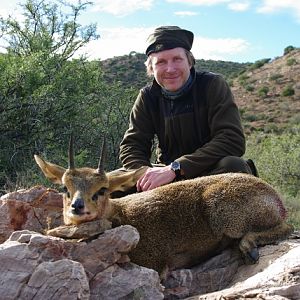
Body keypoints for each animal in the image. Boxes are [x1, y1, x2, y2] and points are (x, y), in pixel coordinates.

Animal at [34, 140, 292, 274]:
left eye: (103, 189)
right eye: (65, 188)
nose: (77, 206)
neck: (120, 215)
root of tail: (274, 196)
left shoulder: (156, 264)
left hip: (224, 214)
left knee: (286, 228)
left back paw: (249, 248)